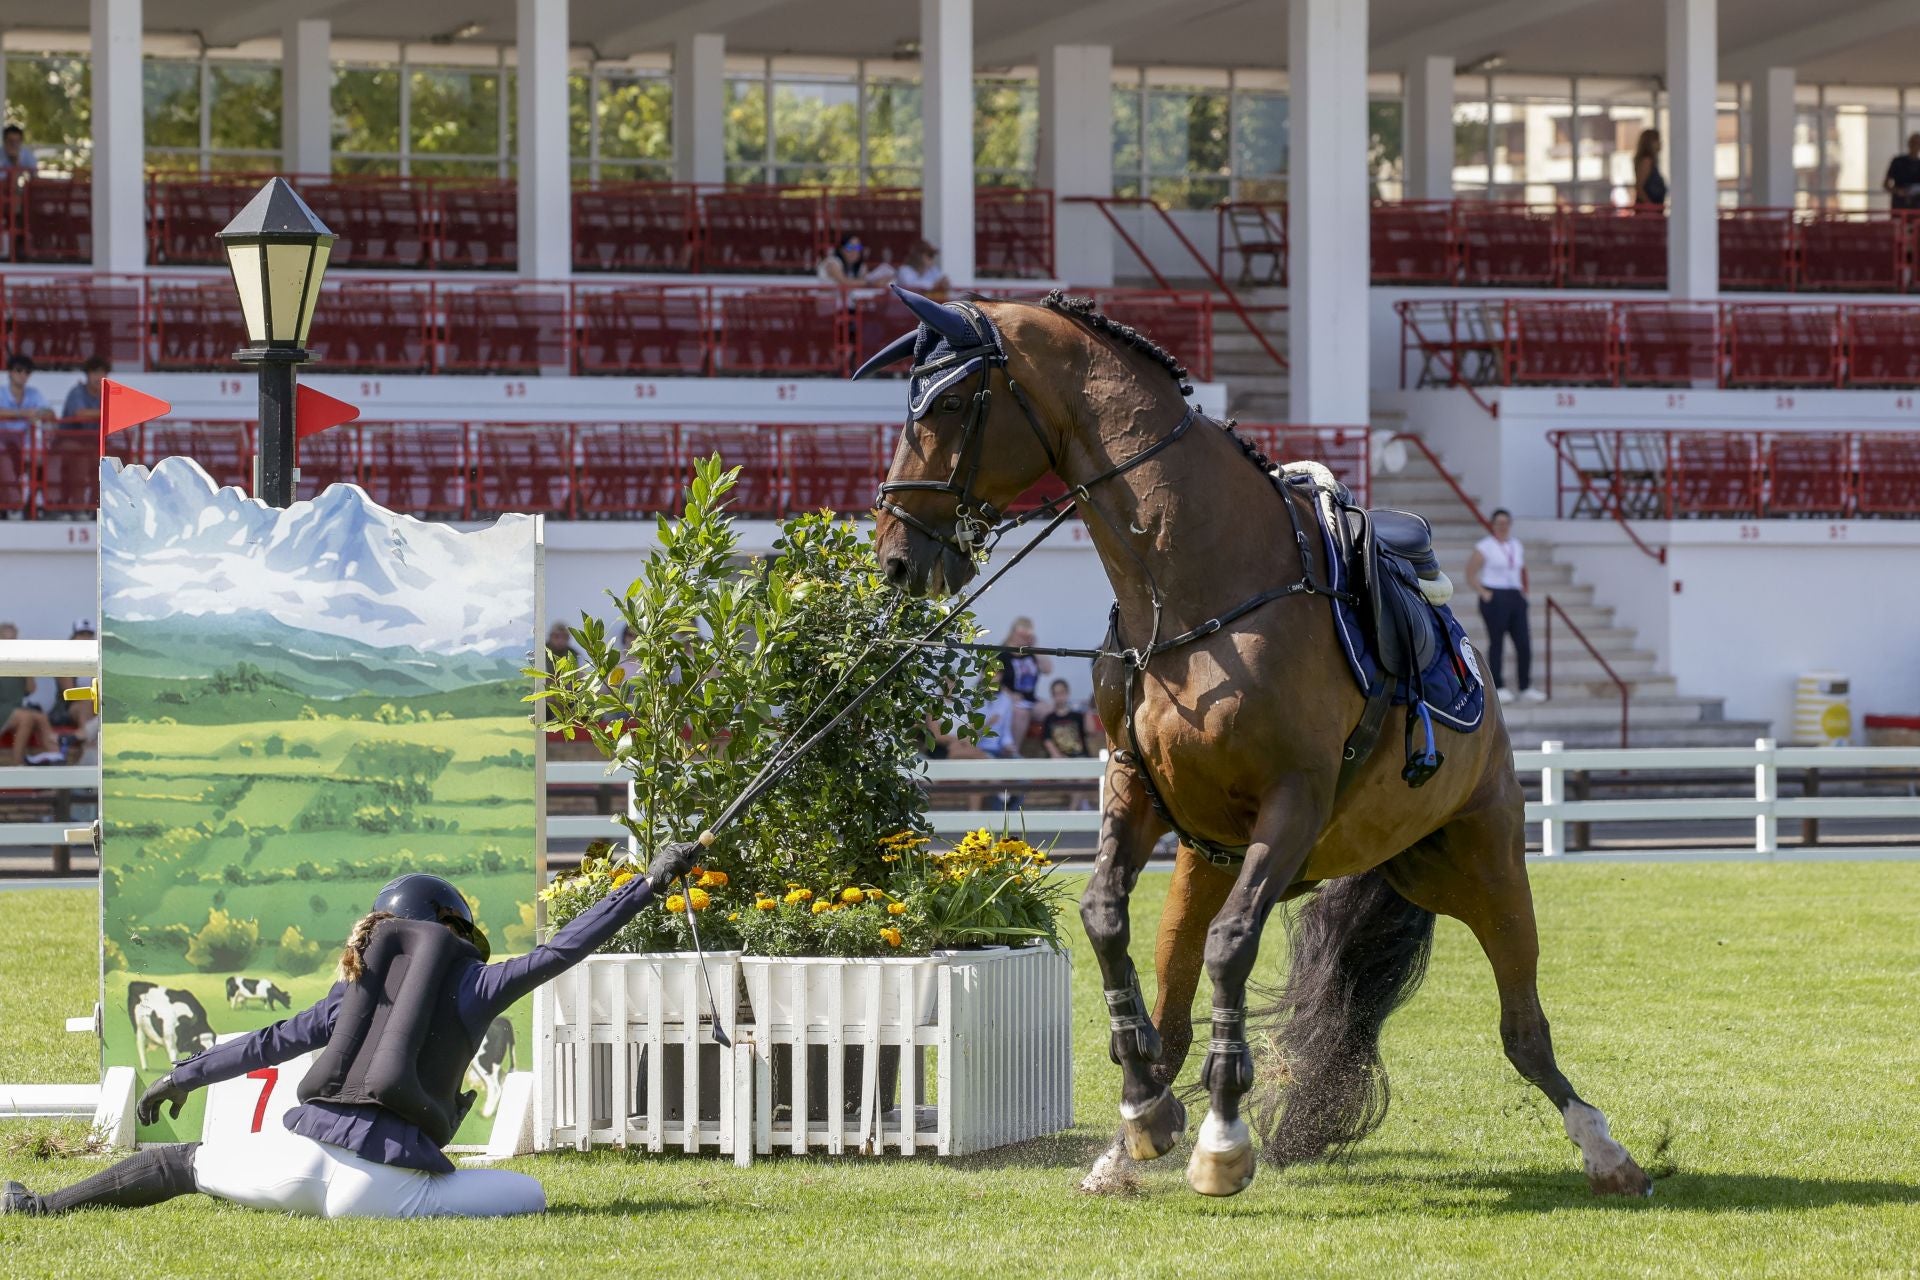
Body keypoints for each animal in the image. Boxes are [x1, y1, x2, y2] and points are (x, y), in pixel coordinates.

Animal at [867, 287, 1651, 1205]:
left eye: (951, 405)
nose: (894, 558)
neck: (1192, 592)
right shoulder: (1136, 787)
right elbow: (1106, 919)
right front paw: (1147, 1106)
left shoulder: (1293, 802)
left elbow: (1233, 946)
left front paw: (1222, 1136)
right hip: (1213, 863)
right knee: (1176, 1002)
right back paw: (1127, 1140)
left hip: (1484, 861)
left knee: (1523, 1027)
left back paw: (1605, 1150)